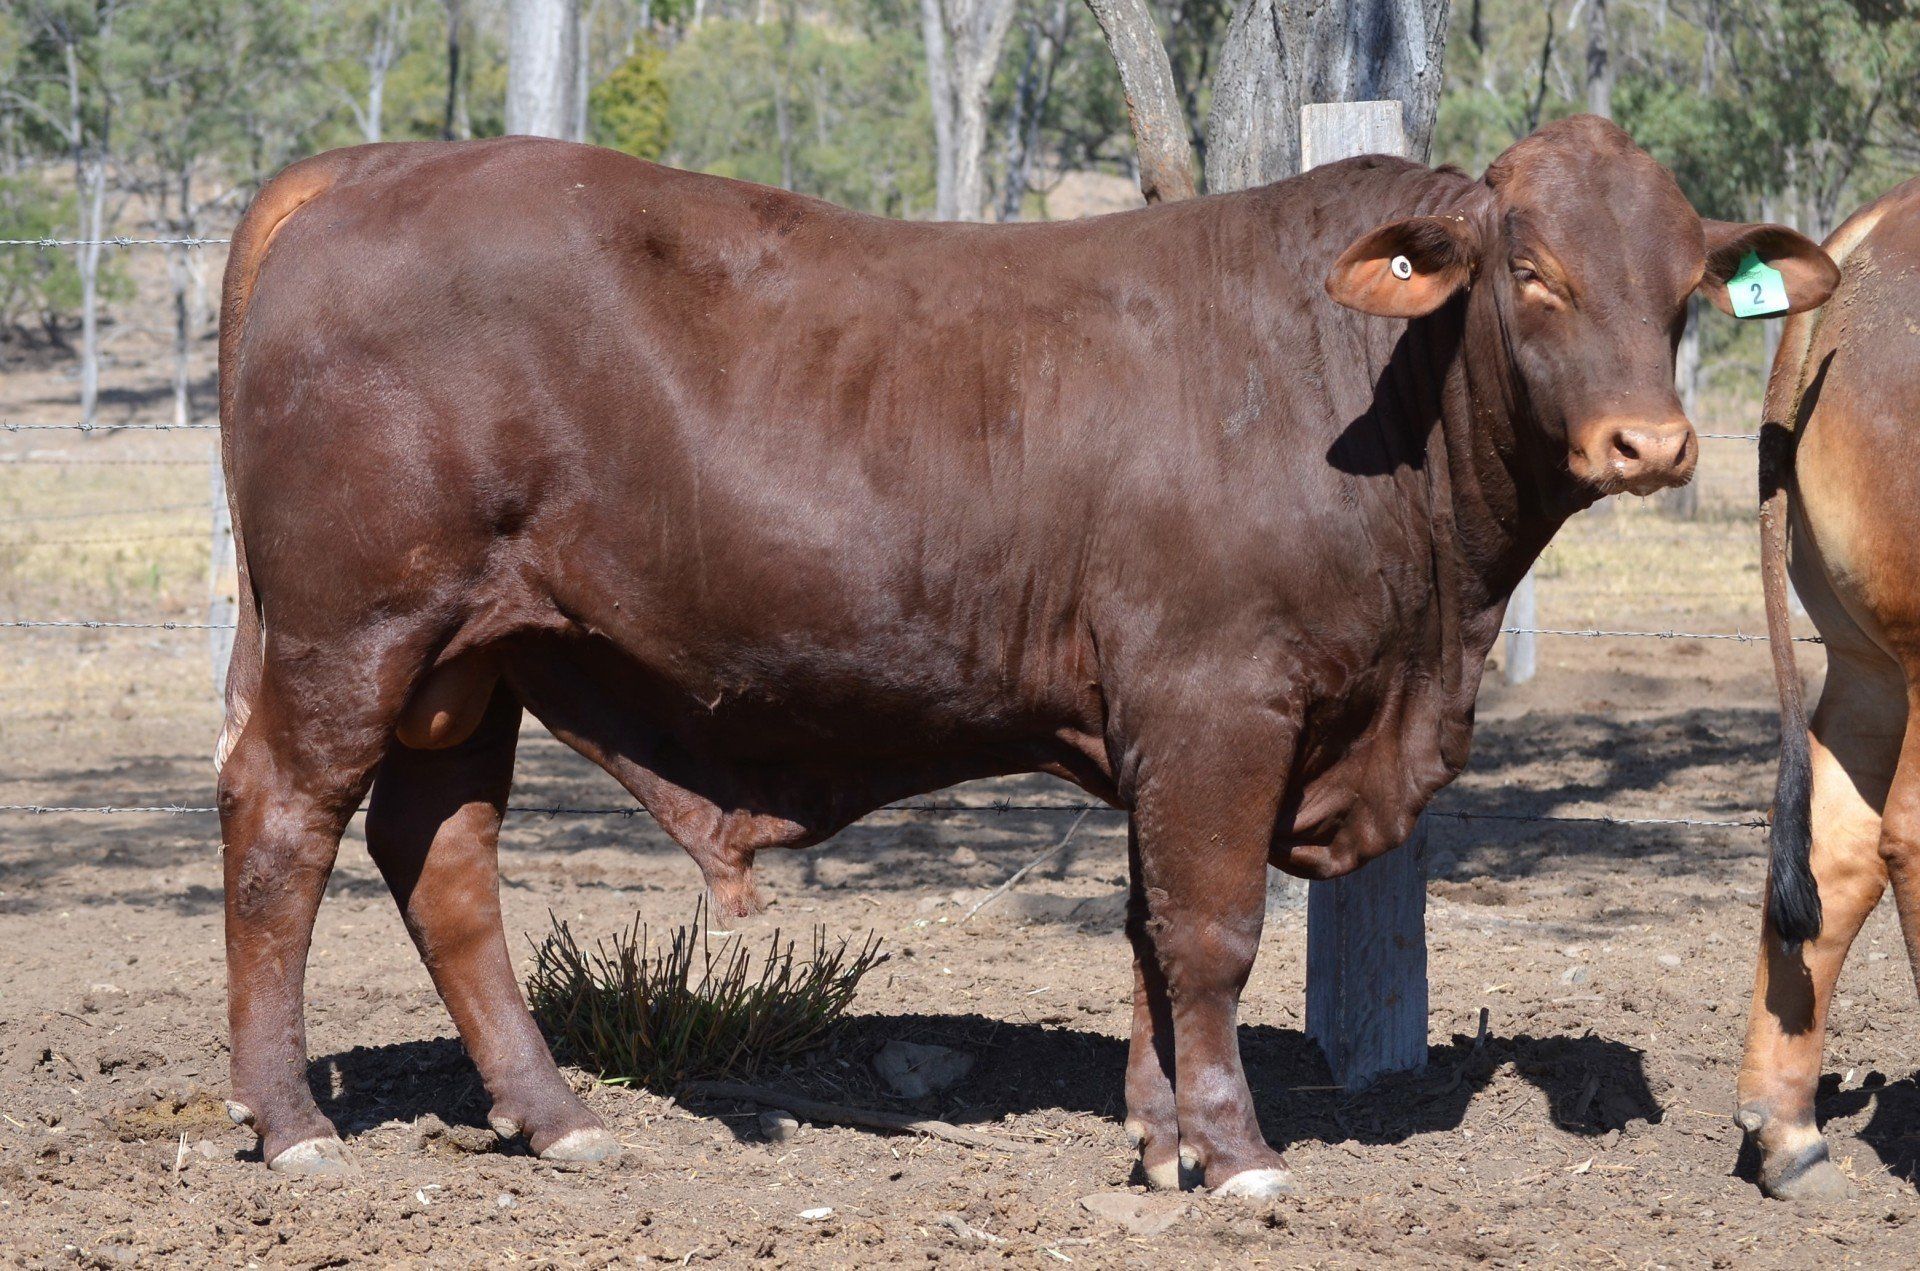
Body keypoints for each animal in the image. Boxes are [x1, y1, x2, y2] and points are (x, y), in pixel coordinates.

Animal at [214, 114, 1835, 1190]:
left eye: (1686, 285)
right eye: (1535, 269)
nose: (1651, 444)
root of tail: (362, 168)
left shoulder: (1166, 721)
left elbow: (1148, 927)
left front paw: (1163, 1138)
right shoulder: (1217, 698)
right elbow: (1210, 928)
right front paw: (1239, 1150)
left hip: (470, 660)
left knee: (443, 855)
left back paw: (555, 1114)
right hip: (353, 630)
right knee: (282, 827)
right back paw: (294, 1125)